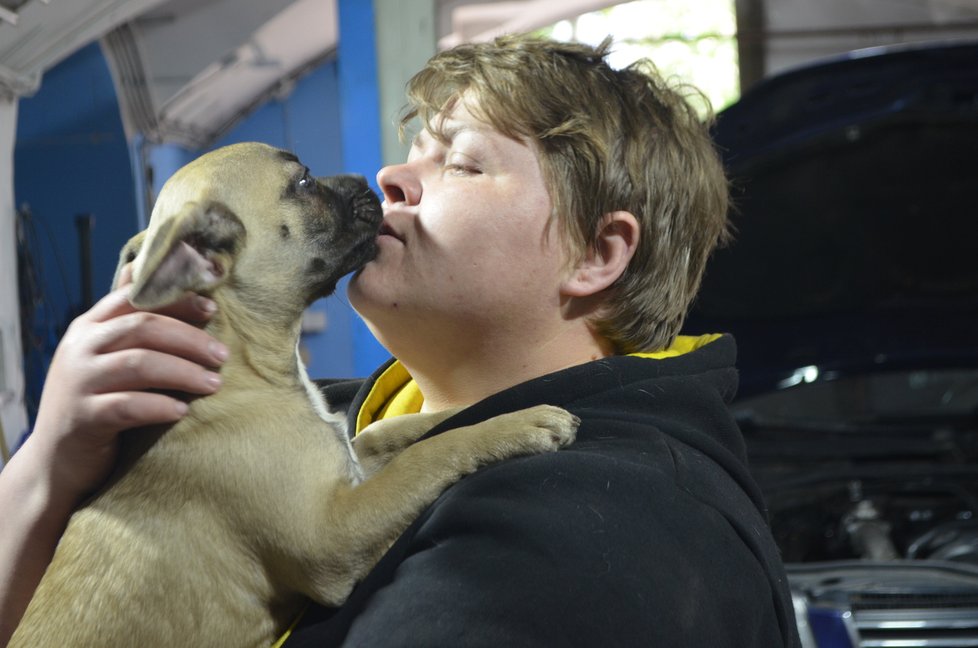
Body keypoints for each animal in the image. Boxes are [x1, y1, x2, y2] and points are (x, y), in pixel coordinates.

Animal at [11, 143, 576, 648]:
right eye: (304, 183)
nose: (369, 180)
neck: (248, 368)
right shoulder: (334, 531)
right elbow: (430, 455)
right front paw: (521, 423)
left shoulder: (350, 464)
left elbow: (399, 431)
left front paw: (489, 403)